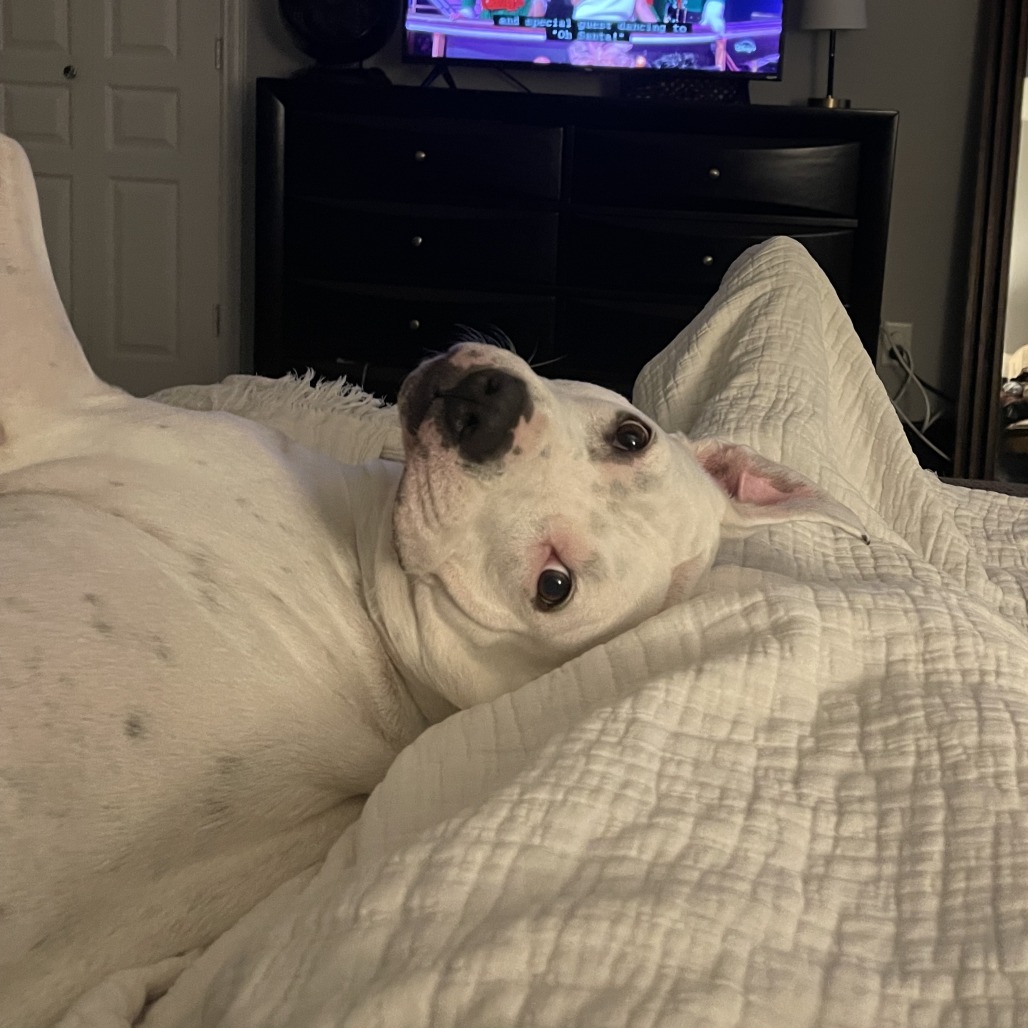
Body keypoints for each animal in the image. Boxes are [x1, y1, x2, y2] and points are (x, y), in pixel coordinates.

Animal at [0, 133, 867, 1026]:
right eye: (633, 435)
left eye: (553, 587)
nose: (484, 412)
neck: (377, 603)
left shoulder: (66, 404)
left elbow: (13, 169)